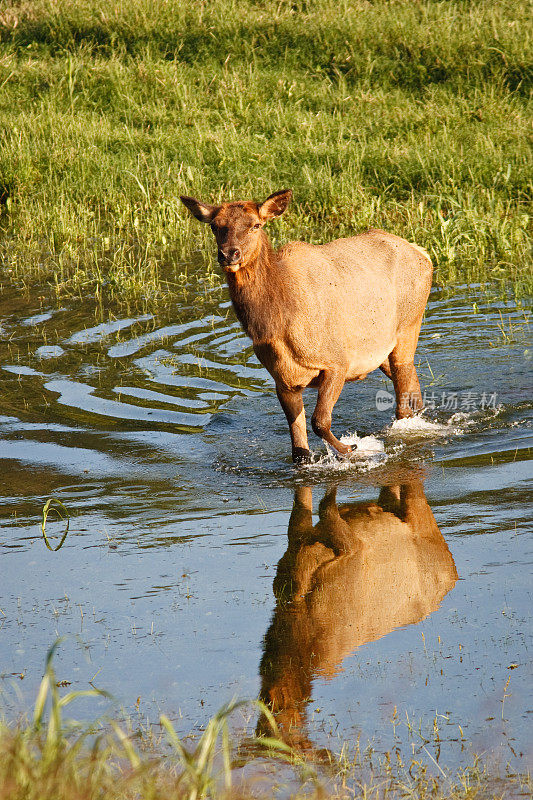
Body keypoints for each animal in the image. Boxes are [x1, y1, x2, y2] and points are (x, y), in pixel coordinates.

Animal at [180, 191, 432, 462]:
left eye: (255, 225)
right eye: (215, 226)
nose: (229, 254)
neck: (275, 325)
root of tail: (424, 254)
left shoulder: (337, 362)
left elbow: (319, 421)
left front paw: (351, 448)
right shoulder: (284, 381)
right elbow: (299, 450)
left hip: (408, 326)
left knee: (403, 401)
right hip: (381, 351)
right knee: (414, 386)